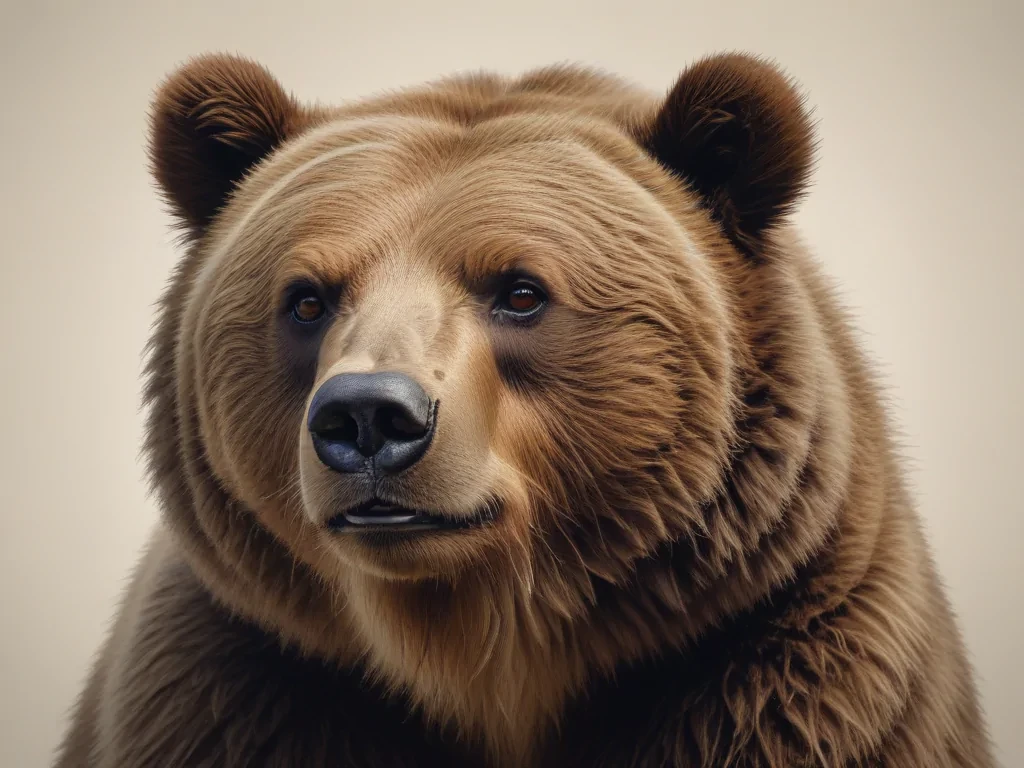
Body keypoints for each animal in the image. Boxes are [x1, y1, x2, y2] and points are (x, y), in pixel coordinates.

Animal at [54, 52, 993, 767]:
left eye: (520, 291)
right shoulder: (245, 688)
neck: (480, 656)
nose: (369, 418)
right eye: (307, 298)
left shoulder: (778, 669)